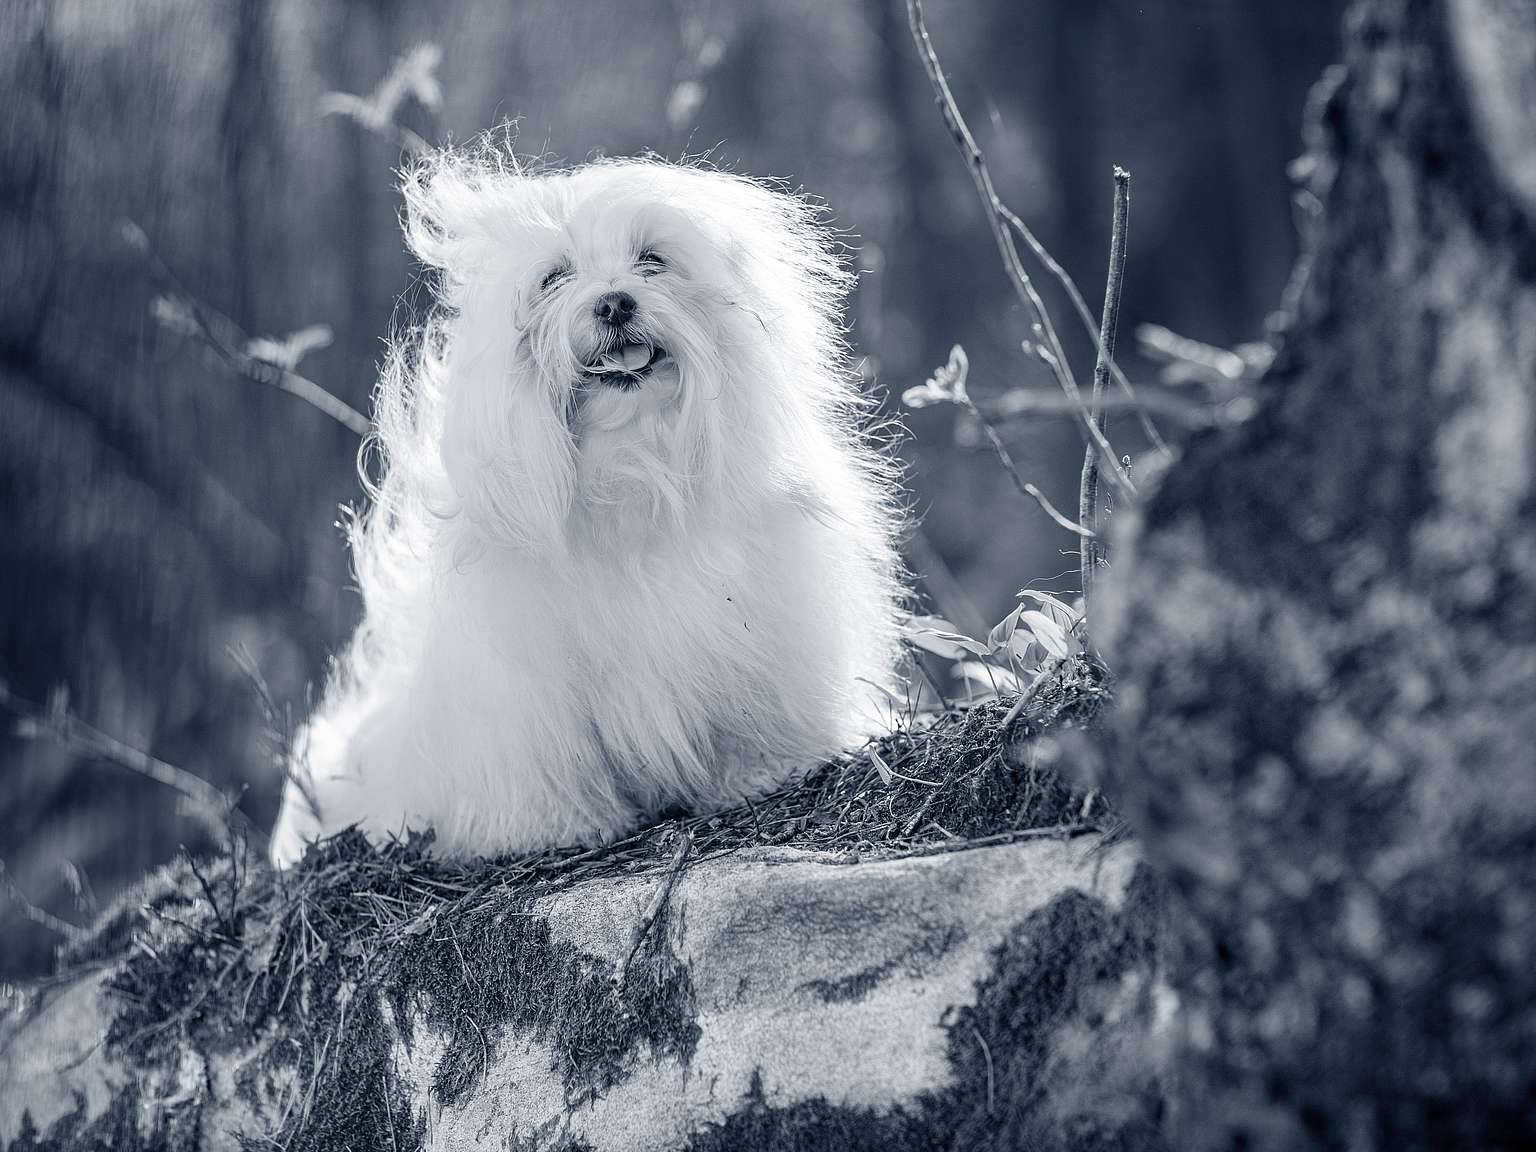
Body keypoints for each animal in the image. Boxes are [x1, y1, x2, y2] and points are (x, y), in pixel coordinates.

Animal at [270, 148, 903, 866]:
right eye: (555, 277)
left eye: (652, 259)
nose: (614, 302)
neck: (632, 467)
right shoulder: (524, 685)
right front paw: (556, 826)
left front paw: (764, 769)